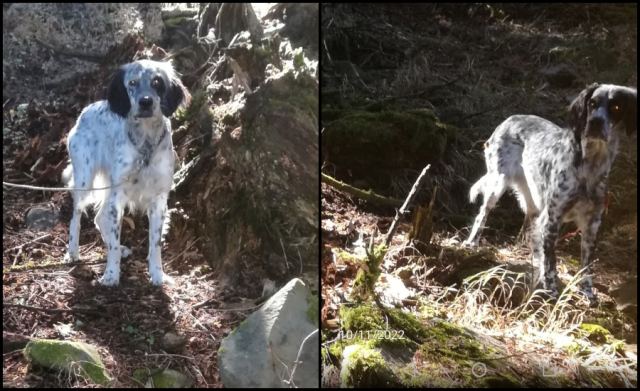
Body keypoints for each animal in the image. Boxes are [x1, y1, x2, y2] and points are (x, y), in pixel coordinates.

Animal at [63, 59, 191, 286]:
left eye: (157, 82)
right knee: (76, 218)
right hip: (85, 181)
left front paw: (158, 275)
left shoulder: (159, 200)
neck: (145, 145)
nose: (145, 102)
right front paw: (111, 275)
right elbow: (114, 241)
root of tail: (85, 111)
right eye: (132, 83)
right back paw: (73, 252)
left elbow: (155, 244)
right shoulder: (118, 197)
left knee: (99, 218)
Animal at [464, 84, 636, 302]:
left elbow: (586, 265)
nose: (595, 122)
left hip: (532, 197)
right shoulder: (553, 218)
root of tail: (509, 119)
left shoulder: (592, 223)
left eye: (616, 107)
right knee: (483, 214)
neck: (589, 166)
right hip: (498, 181)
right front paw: (551, 288)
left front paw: (587, 292)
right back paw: (472, 242)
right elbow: (551, 260)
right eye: (592, 103)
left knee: (530, 228)